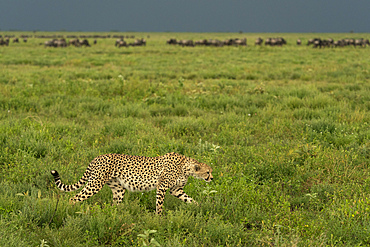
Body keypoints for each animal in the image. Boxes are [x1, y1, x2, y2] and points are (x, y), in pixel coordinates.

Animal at [51, 152, 214, 214]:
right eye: (208, 172)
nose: (212, 178)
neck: (186, 168)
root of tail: (97, 157)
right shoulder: (162, 186)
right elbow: (159, 205)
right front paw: (159, 218)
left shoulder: (176, 190)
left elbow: (190, 200)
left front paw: (201, 207)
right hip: (95, 184)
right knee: (73, 198)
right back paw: (70, 212)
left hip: (118, 189)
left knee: (114, 204)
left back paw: (115, 217)